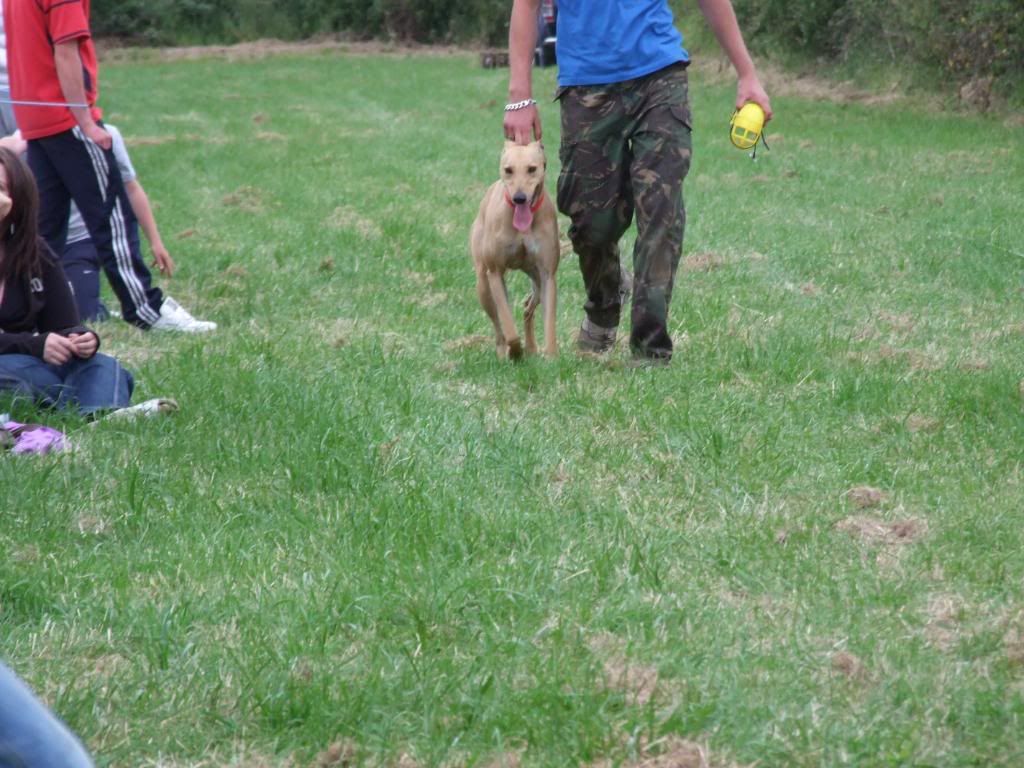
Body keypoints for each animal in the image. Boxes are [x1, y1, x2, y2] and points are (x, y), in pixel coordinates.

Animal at [471, 141, 561, 360]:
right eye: (508, 170)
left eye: (532, 169)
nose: (519, 198)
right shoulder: (495, 272)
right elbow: (507, 321)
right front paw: (514, 350)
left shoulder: (547, 274)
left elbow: (550, 321)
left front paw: (551, 357)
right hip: (483, 285)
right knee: (498, 325)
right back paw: (504, 351)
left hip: (536, 280)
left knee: (528, 306)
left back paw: (531, 347)